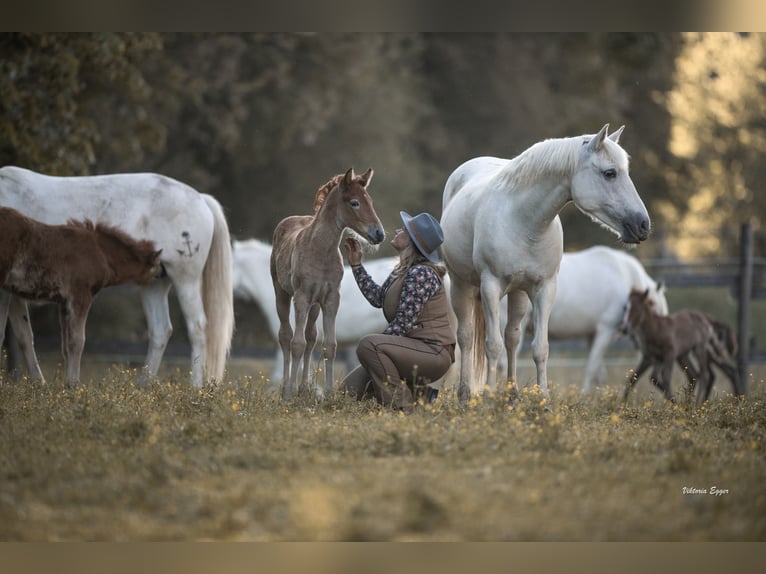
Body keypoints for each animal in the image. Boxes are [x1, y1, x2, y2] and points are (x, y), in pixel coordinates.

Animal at [0, 206, 162, 384]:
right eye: (157, 264)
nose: (163, 273)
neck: (101, 252)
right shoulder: (80, 295)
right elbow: (77, 341)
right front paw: (74, 383)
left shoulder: (63, 303)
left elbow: (65, 345)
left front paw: (65, 382)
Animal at [270, 167, 385, 399]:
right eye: (354, 202)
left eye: (369, 200)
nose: (379, 234)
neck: (320, 250)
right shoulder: (302, 297)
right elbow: (296, 343)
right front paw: (289, 395)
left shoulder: (331, 298)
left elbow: (329, 345)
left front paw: (330, 395)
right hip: (282, 293)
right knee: (286, 336)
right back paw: (287, 389)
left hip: (315, 305)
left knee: (311, 337)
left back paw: (304, 390)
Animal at [440, 124, 650, 403]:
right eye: (610, 173)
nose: (642, 225)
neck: (524, 221)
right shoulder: (490, 287)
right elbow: (491, 346)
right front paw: (488, 399)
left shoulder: (544, 289)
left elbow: (540, 348)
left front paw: (544, 401)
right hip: (461, 285)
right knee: (466, 337)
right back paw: (465, 396)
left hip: (518, 294)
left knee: (512, 338)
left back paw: (512, 394)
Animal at [516, 245, 668, 392]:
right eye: (653, 307)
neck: (626, 277)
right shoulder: (606, 330)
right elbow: (591, 368)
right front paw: (583, 395)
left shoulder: (591, 335)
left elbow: (600, 373)